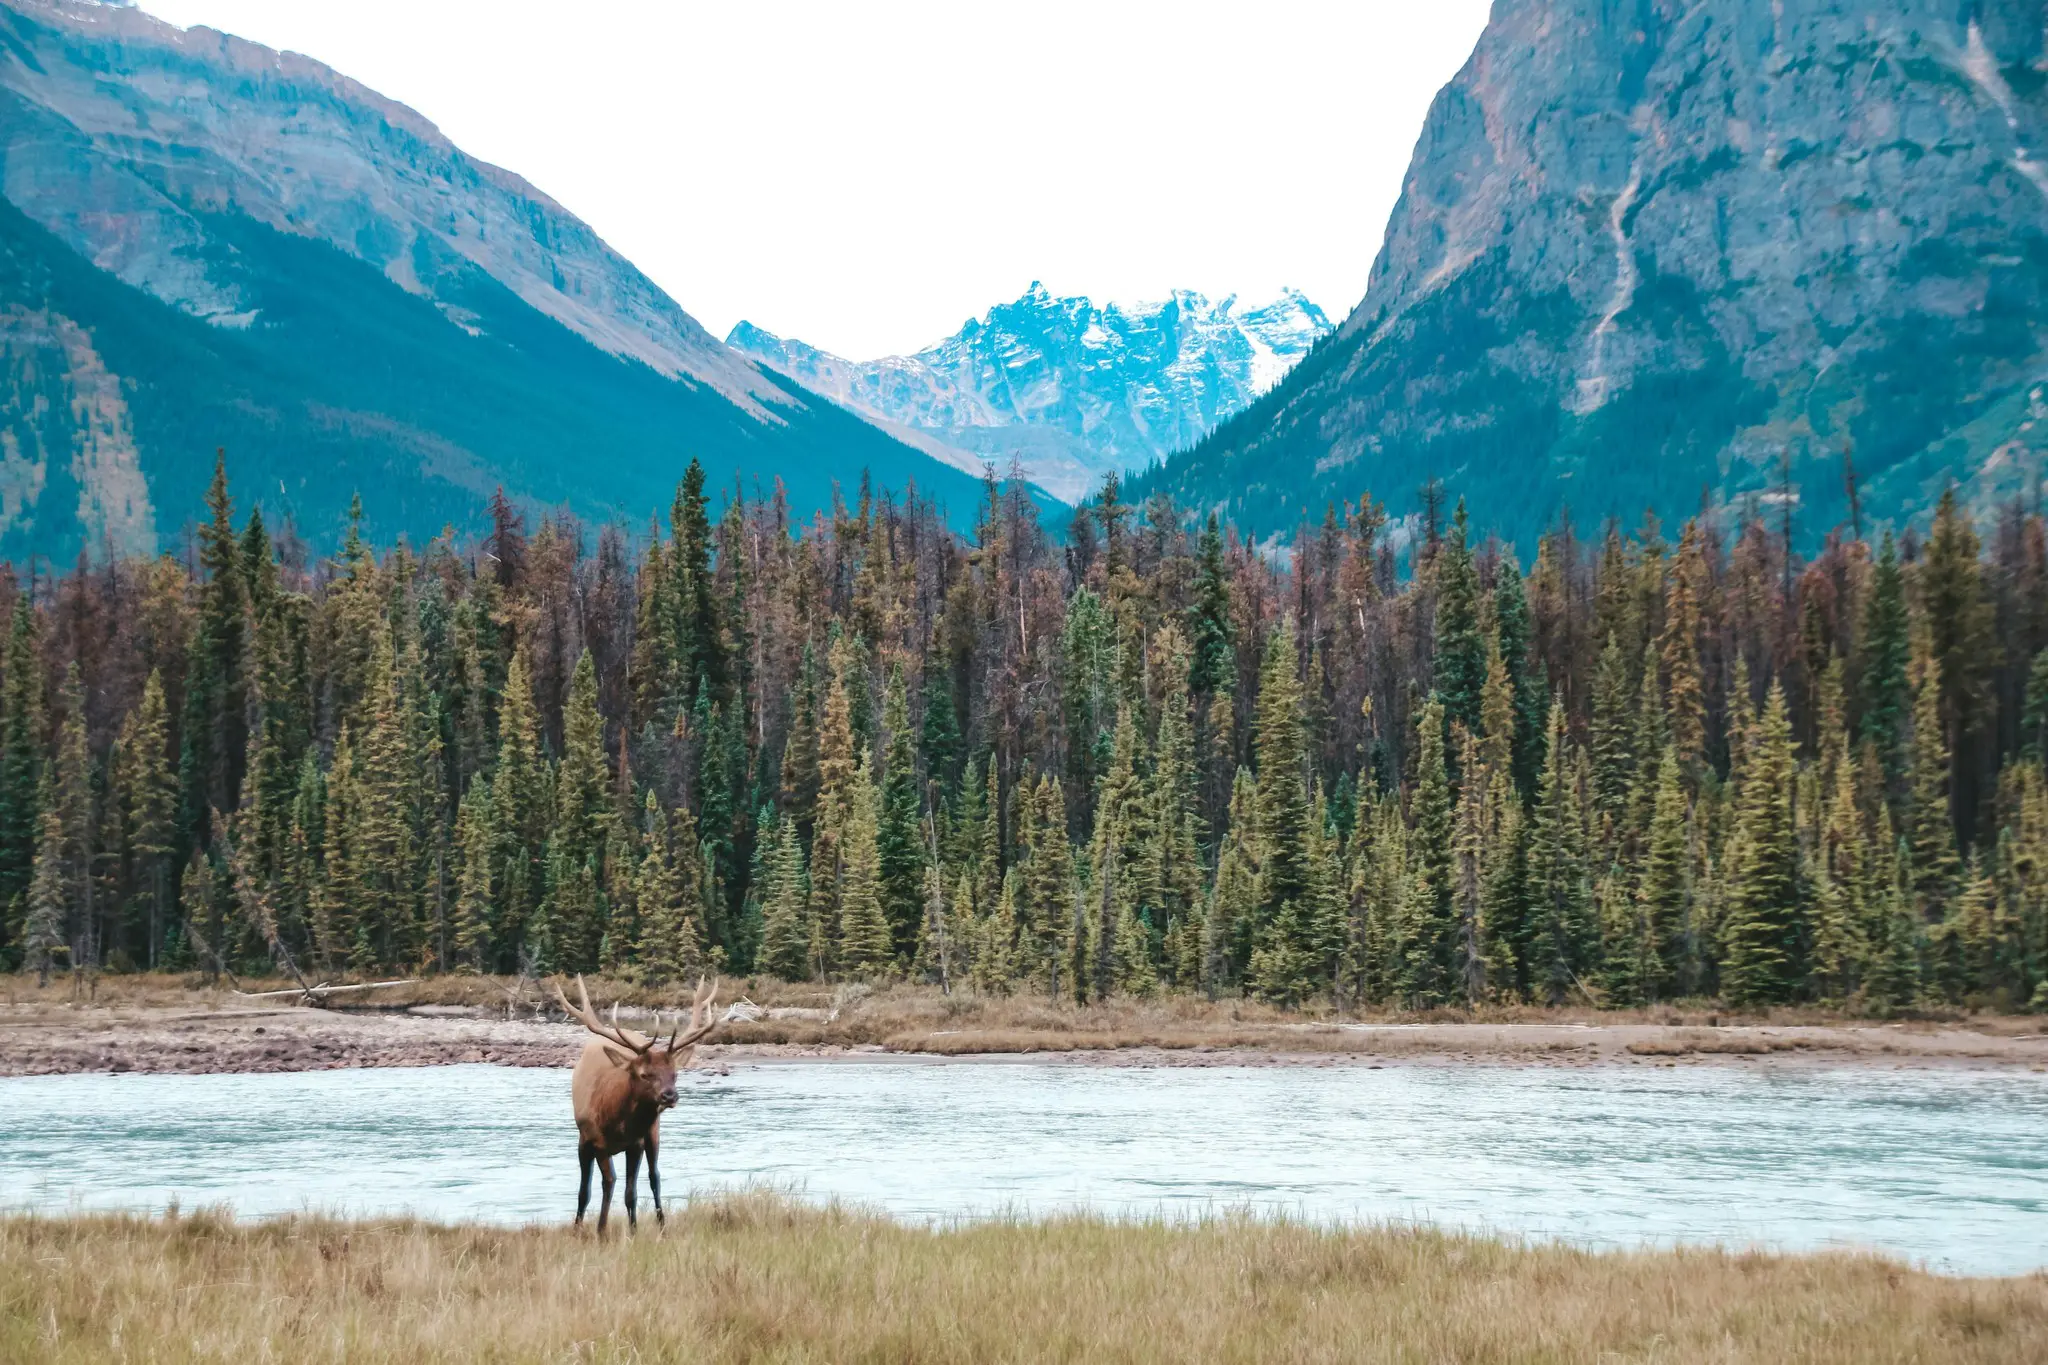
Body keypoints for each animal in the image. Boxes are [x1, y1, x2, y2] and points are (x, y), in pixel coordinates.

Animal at [552, 974, 720, 1235]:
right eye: (644, 1074)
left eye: (675, 1073)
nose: (670, 1096)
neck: (615, 1121)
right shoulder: (589, 1139)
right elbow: (590, 1189)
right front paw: (587, 1229)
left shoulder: (636, 1143)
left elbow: (630, 1192)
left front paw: (630, 1231)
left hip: (653, 1132)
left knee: (654, 1176)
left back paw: (662, 1225)